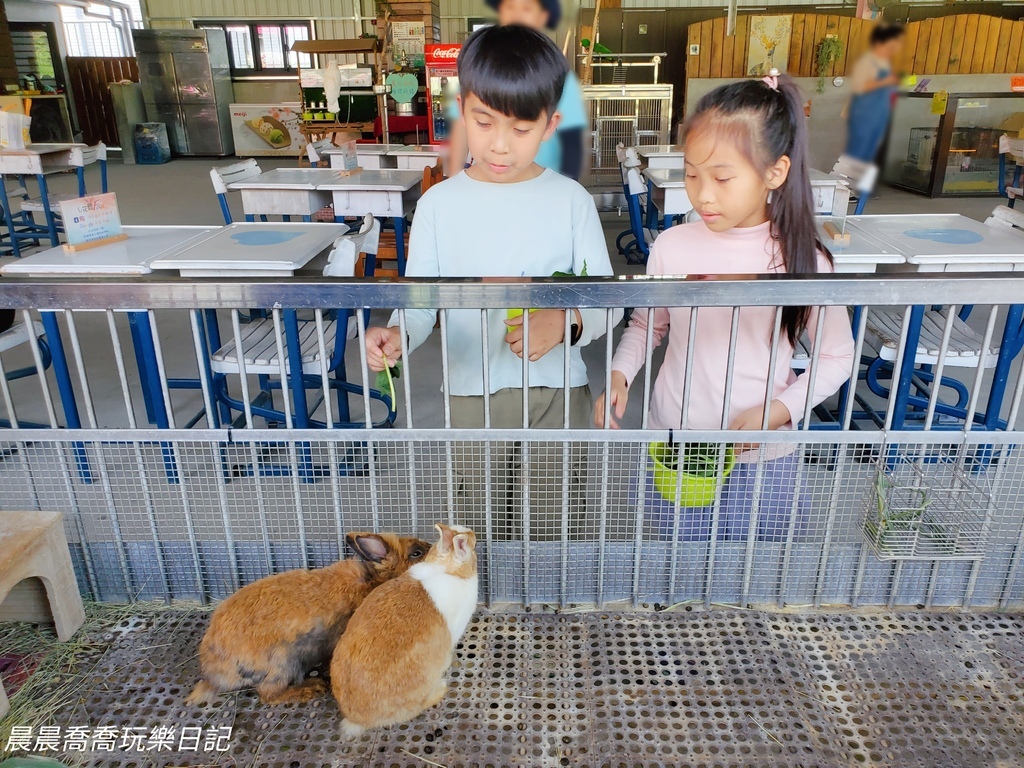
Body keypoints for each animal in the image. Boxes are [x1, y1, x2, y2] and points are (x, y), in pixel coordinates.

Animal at [186, 532, 430, 708]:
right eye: (416, 552)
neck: (374, 581)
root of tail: (213, 674)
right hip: (282, 664)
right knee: (268, 695)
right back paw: (311, 688)